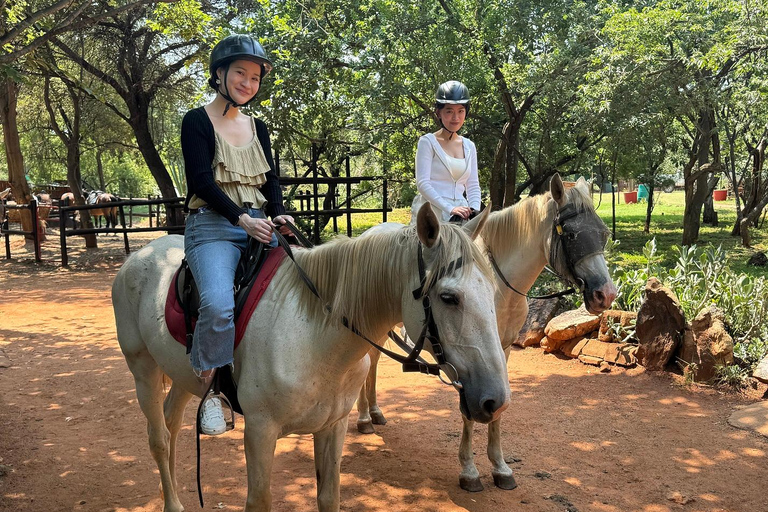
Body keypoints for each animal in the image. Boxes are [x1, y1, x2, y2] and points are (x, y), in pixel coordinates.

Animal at [112, 205, 510, 512]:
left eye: (493, 291)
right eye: (448, 297)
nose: (496, 400)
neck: (315, 337)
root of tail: (139, 255)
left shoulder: (333, 426)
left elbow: (328, 497)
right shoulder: (260, 431)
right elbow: (259, 502)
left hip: (182, 376)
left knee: (171, 424)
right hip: (143, 370)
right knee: (158, 438)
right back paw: (173, 503)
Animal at [356, 175, 616, 492]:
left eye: (603, 233)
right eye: (571, 235)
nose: (606, 295)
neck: (500, 285)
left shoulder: (501, 349)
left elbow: (498, 409)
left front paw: (500, 467)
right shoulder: (465, 356)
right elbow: (469, 410)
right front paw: (469, 470)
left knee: (373, 362)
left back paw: (375, 412)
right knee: (368, 360)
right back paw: (365, 417)